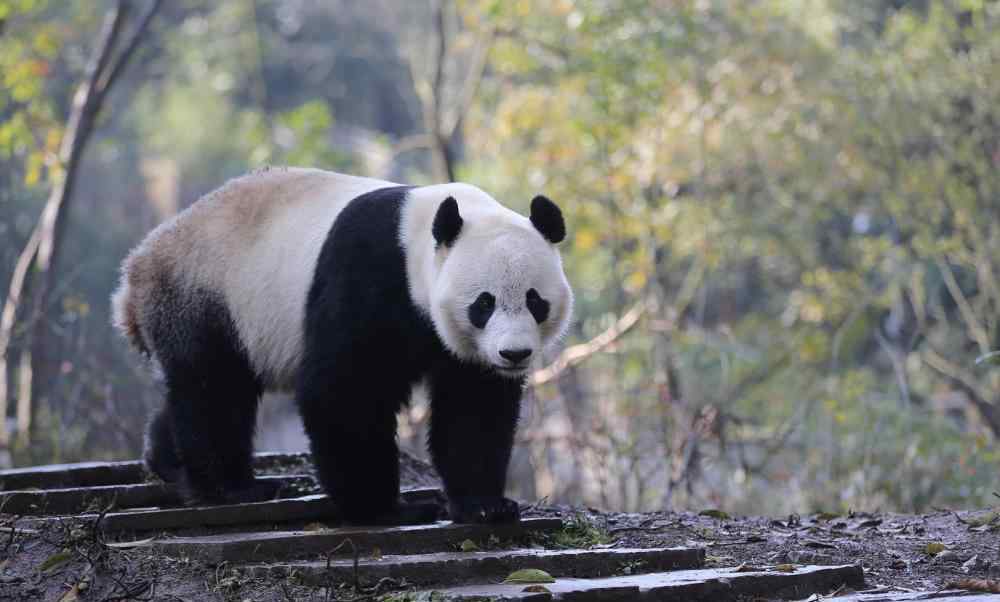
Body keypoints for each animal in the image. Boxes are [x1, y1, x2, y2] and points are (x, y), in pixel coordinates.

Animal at [111, 166, 572, 524]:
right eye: (484, 303)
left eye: (535, 301)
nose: (514, 354)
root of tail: (135, 271)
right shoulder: (368, 275)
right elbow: (346, 390)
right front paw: (383, 509)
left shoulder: (464, 348)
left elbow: (473, 406)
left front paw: (484, 506)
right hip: (206, 295)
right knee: (214, 390)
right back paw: (232, 489)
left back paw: (167, 461)